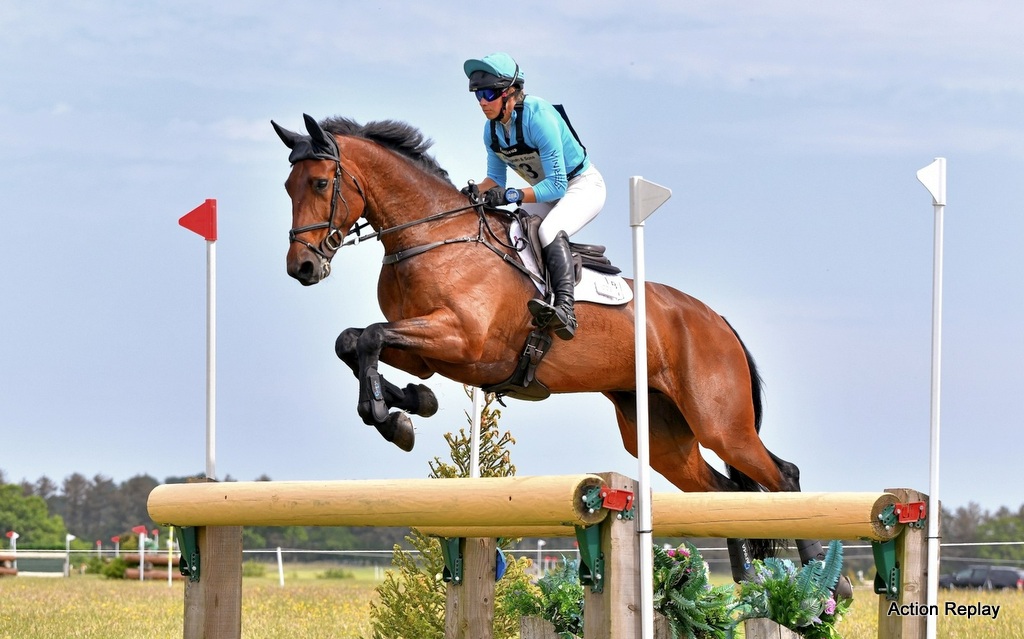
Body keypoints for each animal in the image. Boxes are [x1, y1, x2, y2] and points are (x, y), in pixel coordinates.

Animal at [271, 113, 835, 582]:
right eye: (287, 187)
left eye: (320, 182)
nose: (302, 268)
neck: (433, 237)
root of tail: (716, 320)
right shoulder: (427, 352)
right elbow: (354, 341)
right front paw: (407, 409)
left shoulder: (462, 341)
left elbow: (368, 336)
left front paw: (389, 415)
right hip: (659, 434)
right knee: (723, 492)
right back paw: (748, 577)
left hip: (720, 422)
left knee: (781, 474)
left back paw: (829, 582)